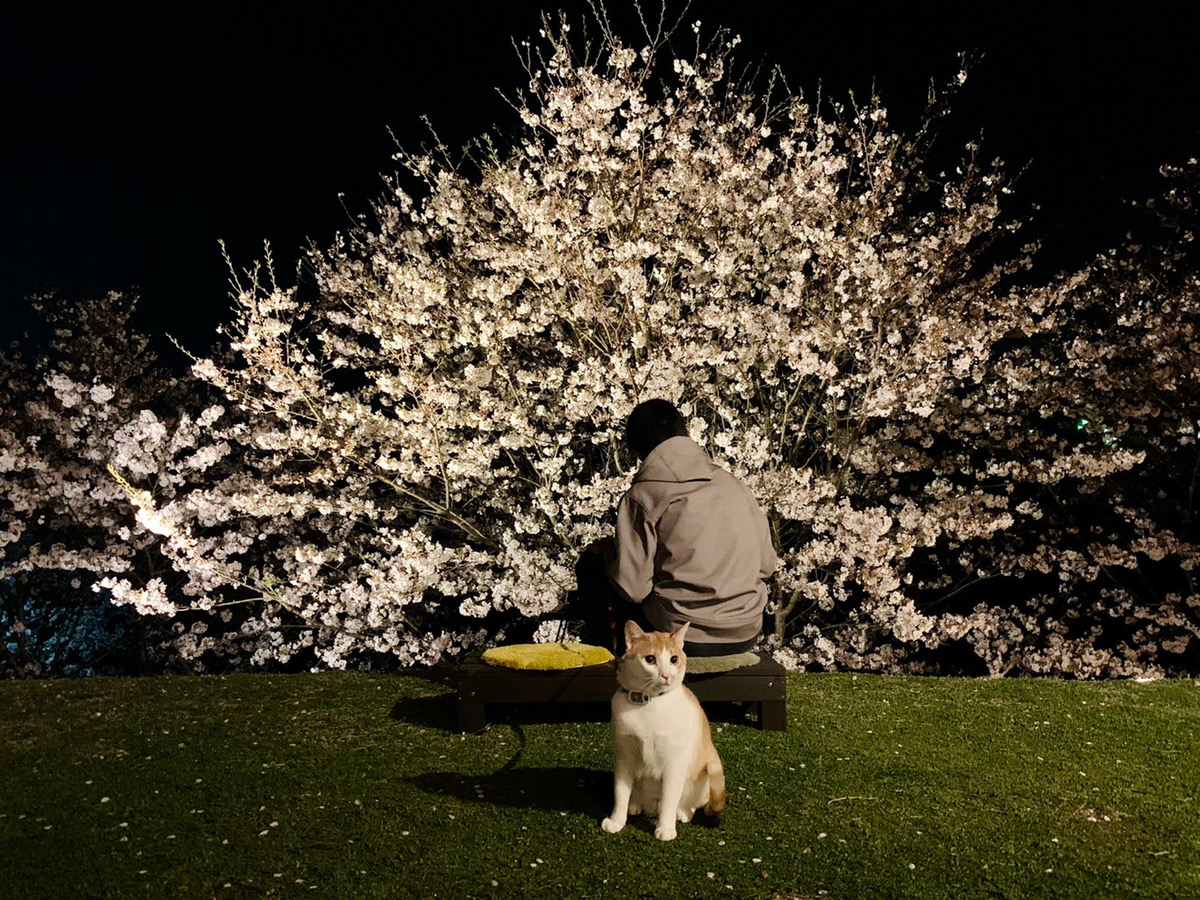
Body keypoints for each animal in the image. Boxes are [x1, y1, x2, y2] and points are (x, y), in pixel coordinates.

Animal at [597, 624, 720, 844]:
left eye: (674, 659)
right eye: (650, 659)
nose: (665, 675)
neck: (648, 703)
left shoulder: (674, 763)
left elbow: (670, 798)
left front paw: (665, 827)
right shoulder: (623, 758)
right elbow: (620, 793)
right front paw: (617, 821)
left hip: (709, 770)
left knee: (687, 803)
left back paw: (681, 813)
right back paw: (635, 805)